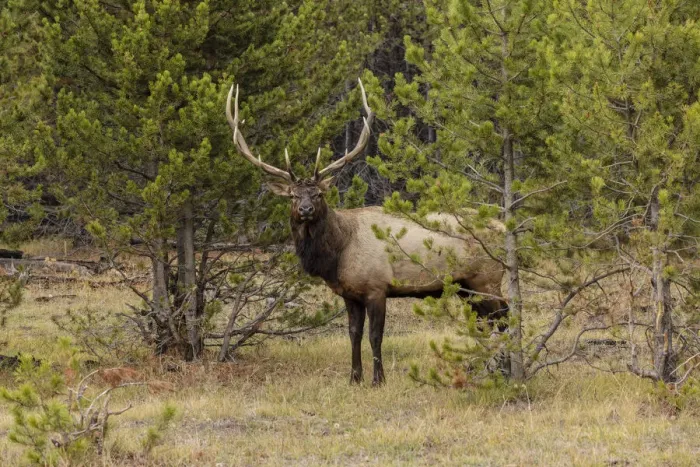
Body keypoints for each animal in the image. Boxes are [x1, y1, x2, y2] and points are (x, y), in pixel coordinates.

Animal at [225, 80, 508, 385]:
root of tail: (505, 227)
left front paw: (378, 380)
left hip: (487, 278)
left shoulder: (376, 287)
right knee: (485, 323)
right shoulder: (350, 294)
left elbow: (375, 336)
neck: (338, 254)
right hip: (466, 286)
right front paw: (354, 378)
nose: (305, 209)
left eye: (319, 194)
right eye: (292, 195)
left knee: (505, 317)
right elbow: (354, 335)